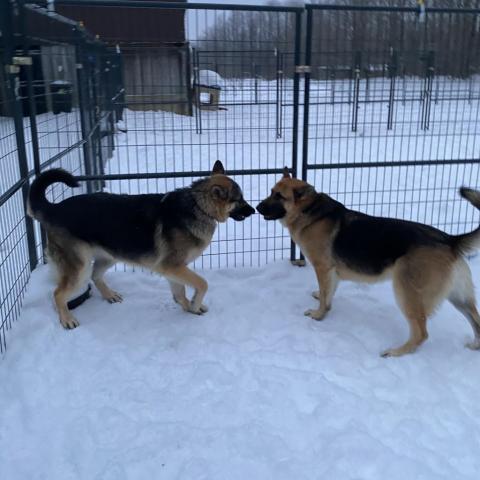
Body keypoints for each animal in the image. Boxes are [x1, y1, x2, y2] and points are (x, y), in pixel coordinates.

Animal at [28, 161, 255, 330]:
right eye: (239, 200)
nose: (254, 210)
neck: (198, 206)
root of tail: (54, 209)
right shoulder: (172, 266)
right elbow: (202, 284)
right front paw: (194, 304)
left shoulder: (173, 269)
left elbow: (180, 293)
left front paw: (189, 308)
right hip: (79, 267)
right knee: (58, 293)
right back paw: (67, 319)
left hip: (109, 257)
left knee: (95, 275)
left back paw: (109, 295)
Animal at [256, 169, 480, 356]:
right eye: (271, 191)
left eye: (279, 196)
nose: (256, 207)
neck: (309, 211)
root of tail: (450, 239)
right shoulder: (331, 272)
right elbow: (328, 292)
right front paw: (322, 299)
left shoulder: (323, 268)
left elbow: (325, 298)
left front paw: (319, 315)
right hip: (459, 298)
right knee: (476, 322)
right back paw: (474, 346)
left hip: (406, 293)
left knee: (421, 333)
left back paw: (397, 352)